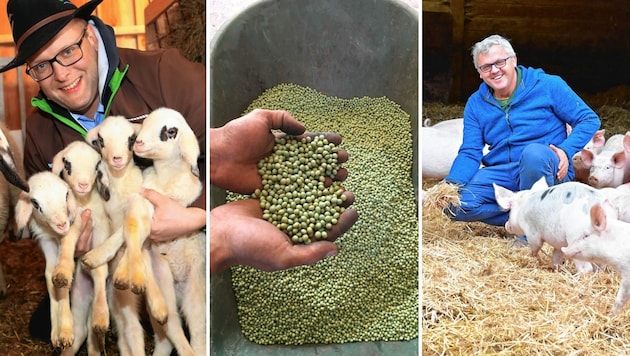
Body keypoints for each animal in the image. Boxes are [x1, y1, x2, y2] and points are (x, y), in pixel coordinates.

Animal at [51, 140, 112, 354]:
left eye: (96, 166)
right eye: (67, 163)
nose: (84, 185)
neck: (85, 202)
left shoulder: (101, 229)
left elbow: (100, 269)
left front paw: (101, 318)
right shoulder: (72, 224)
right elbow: (67, 243)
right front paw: (62, 271)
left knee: (91, 334)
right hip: (79, 297)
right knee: (80, 332)